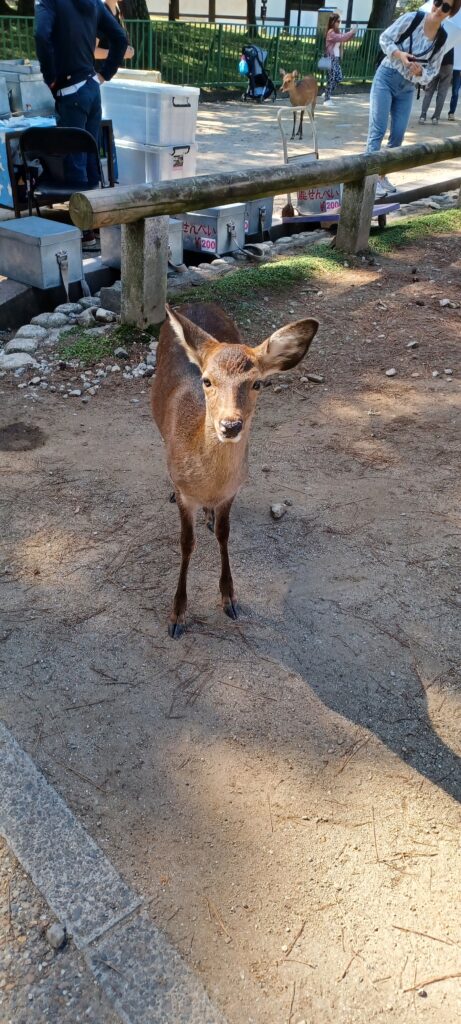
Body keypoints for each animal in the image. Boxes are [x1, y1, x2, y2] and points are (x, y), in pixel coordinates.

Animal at [152, 301, 319, 638]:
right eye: (207, 381)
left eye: (257, 382)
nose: (230, 425)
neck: (208, 483)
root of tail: (197, 302)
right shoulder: (186, 493)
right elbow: (186, 543)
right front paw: (176, 615)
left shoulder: (232, 491)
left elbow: (223, 534)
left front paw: (230, 598)